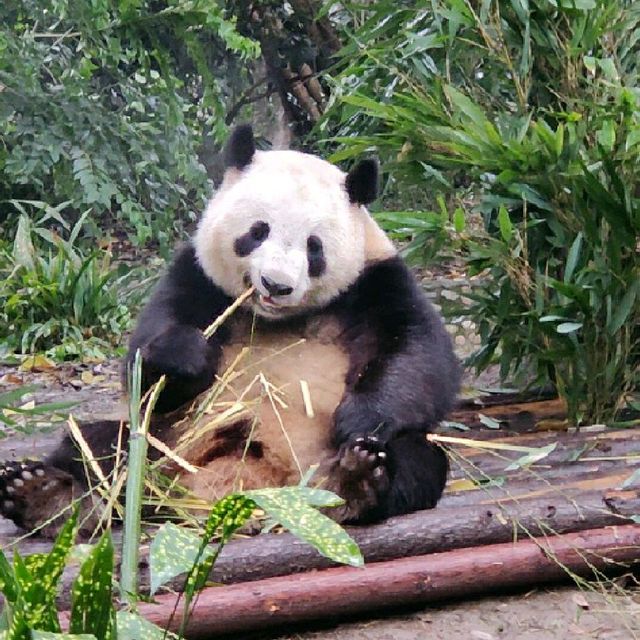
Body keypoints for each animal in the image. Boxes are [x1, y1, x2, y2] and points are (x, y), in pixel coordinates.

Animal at [0, 125, 460, 536]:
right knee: (98, 446)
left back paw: (356, 480)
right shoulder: (196, 276)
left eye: (314, 247)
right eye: (257, 232)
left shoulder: (374, 282)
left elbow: (418, 355)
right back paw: (46, 496)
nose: (276, 285)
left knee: (417, 457)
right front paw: (187, 356)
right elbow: (144, 365)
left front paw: (360, 417)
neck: (277, 318)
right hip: (165, 446)